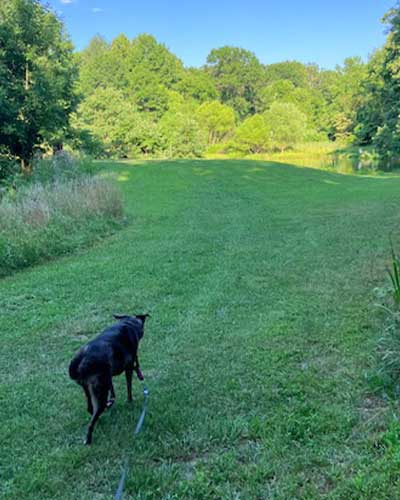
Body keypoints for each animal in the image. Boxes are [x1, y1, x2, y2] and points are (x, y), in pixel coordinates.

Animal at [69, 312, 149, 446]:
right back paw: (88, 439)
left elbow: (113, 389)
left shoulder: (108, 376)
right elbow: (129, 386)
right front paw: (130, 401)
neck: (128, 323)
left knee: (90, 409)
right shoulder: (128, 367)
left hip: (89, 388)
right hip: (100, 391)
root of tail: (81, 359)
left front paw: (113, 399)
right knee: (92, 420)